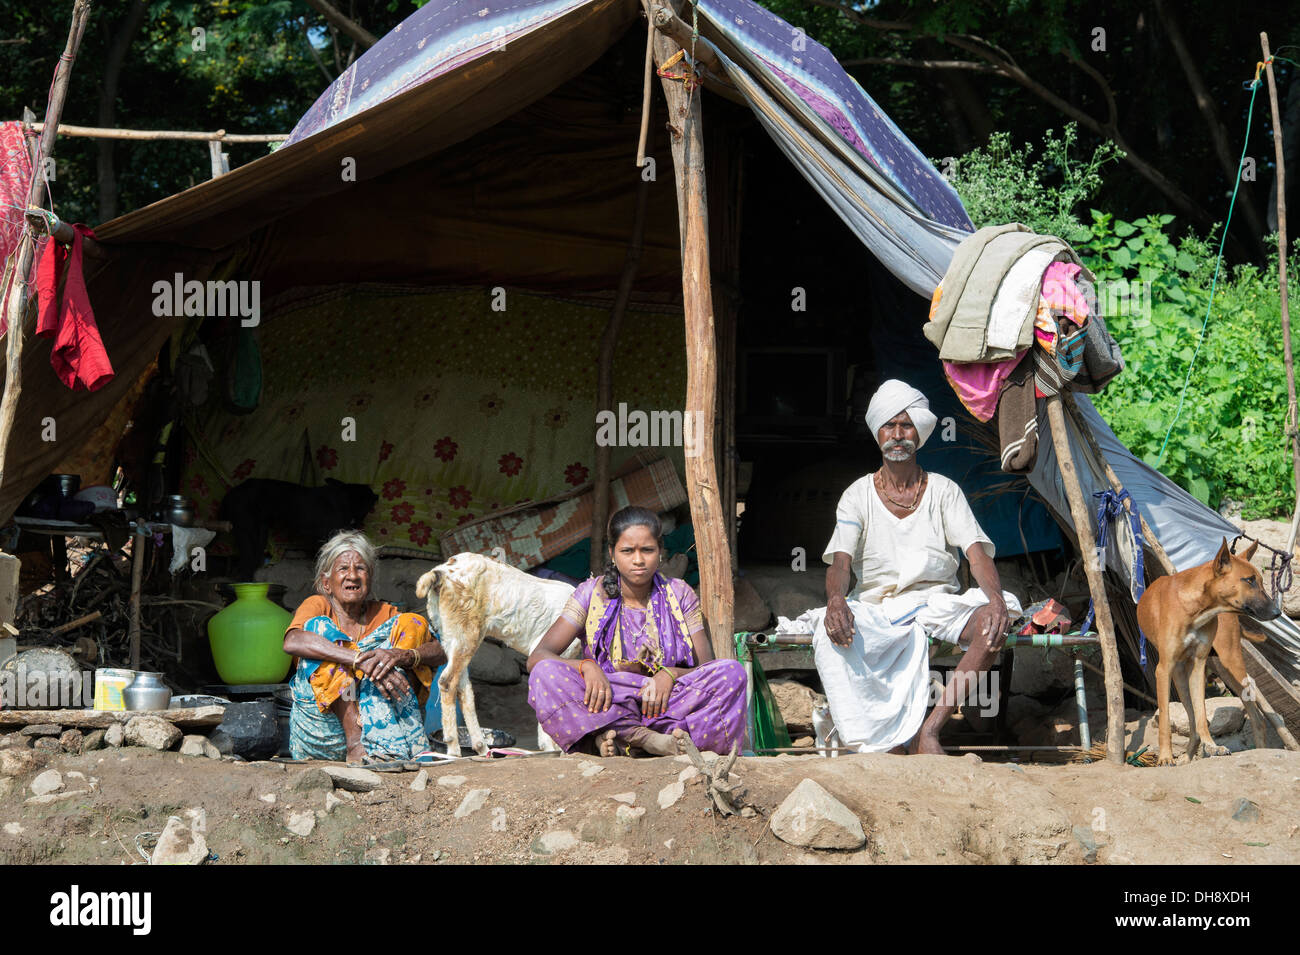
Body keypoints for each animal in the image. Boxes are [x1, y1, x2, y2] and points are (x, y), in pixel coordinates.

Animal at [219, 480, 379, 579]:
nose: (376, 496)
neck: (346, 500)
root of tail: (230, 494)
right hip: (246, 530)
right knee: (246, 561)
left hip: (260, 531)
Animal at [416, 553, 579, 753]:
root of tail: (441, 573)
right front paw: (551, 747)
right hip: (466, 633)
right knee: (448, 682)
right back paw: (454, 749)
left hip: (449, 637)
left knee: (463, 687)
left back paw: (482, 748)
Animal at [1138, 540, 1279, 764]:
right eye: (1249, 580)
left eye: (1261, 581)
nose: (1277, 612)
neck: (1197, 609)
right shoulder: (1164, 669)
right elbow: (1167, 720)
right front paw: (1166, 757)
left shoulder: (1197, 667)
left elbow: (1202, 715)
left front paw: (1212, 746)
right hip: (1181, 675)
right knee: (1192, 720)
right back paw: (1187, 756)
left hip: (1231, 667)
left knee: (1257, 719)